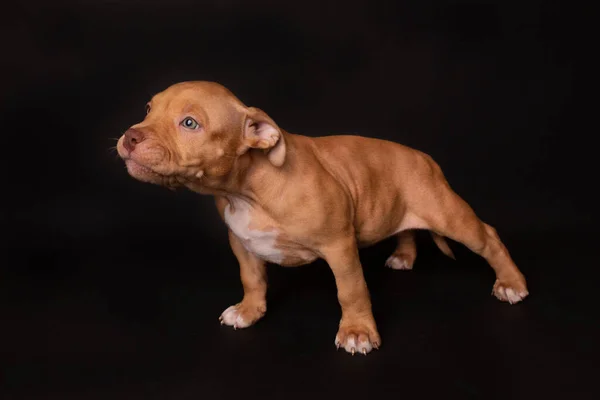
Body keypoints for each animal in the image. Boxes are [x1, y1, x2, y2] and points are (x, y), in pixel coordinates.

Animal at [115, 79, 528, 354]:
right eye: (149, 110)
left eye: (190, 124)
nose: (131, 136)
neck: (247, 191)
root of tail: (423, 157)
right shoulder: (242, 243)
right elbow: (252, 279)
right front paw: (249, 311)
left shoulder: (339, 246)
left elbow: (351, 290)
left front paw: (358, 332)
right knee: (405, 229)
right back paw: (404, 256)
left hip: (447, 213)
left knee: (488, 237)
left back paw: (511, 282)